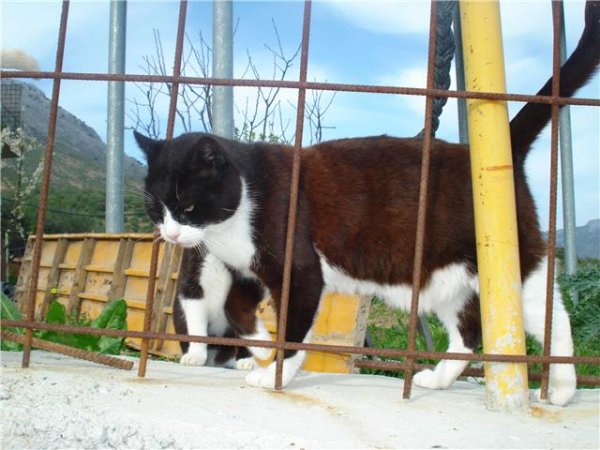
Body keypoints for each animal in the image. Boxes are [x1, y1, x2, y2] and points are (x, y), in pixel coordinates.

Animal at [137, 0, 600, 408]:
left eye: (187, 207)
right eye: (157, 210)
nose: (171, 233)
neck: (239, 210)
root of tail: (496, 149)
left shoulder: (299, 269)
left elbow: (293, 327)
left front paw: (275, 372)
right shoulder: (248, 271)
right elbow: (240, 310)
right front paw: (261, 352)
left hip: (516, 260)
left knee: (553, 315)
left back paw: (562, 386)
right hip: (446, 276)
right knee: (468, 334)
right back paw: (439, 378)